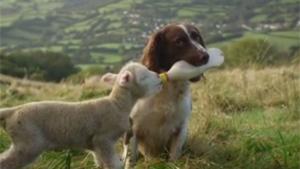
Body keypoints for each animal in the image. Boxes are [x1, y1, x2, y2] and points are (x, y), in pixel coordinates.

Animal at [0, 62, 162, 169]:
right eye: (143, 77)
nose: (159, 77)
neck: (117, 105)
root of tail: (11, 111)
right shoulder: (103, 139)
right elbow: (113, 164)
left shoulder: (95, 146)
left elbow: (102, 164)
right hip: (28, 143)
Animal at [123, 23, 210, 164]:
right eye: (179, 41)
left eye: (196, 36)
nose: (206, 56)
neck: (167, 86)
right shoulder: (133, 128)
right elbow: (130, 159)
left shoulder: (181, 127)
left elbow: (174, 156)